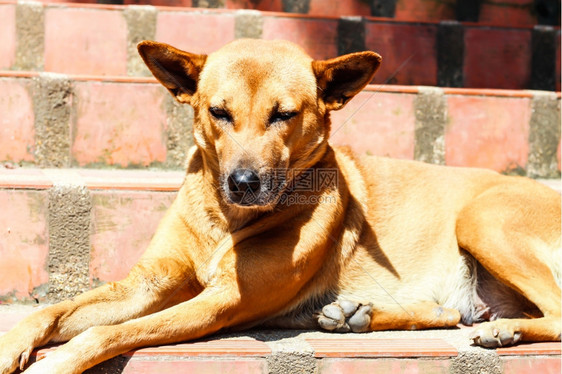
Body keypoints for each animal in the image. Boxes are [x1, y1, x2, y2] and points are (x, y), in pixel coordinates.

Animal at [1, 39, 560, 372]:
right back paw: (357, 315)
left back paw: (503, 330)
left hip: (483, 220)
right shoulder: (150, 282)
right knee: (451, 314)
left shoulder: (224, 301)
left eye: (284, 115)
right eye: (218, 112)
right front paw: (13, 344)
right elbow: (52, 312)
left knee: (552, 312)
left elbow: (107, 331)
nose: (243, 183)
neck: (223, 219)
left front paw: (56, 363)